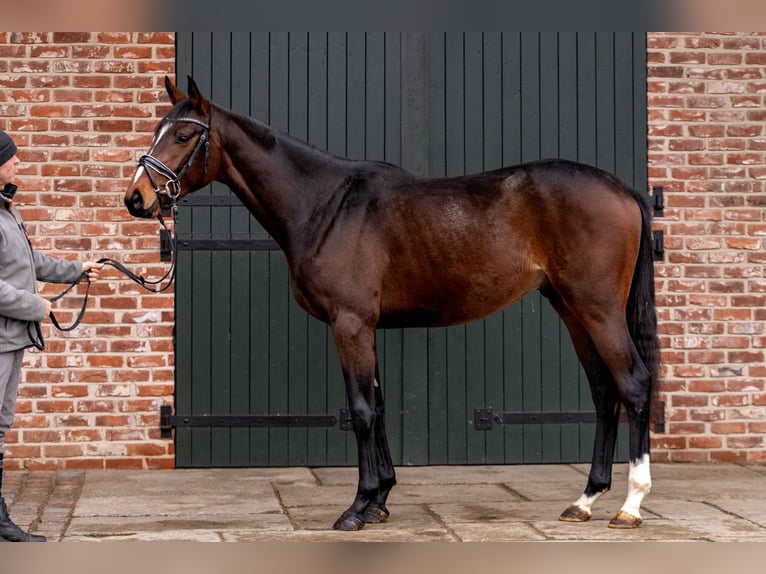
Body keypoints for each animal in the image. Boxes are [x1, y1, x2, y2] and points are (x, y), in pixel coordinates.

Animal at [124, 75, 660, 532]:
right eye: (156, 130)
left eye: (184, 135)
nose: (136, 199)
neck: (326, 204)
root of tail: (621, 188)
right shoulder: (365, 327)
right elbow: (378, 406)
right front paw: (379, 500)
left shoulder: (350, 323)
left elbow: (362, 410)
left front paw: (357, 507)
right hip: (570, 308)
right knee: (604, 392)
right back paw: (585, 500)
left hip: (597, 308)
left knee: (633, 385)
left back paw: (630, 505)